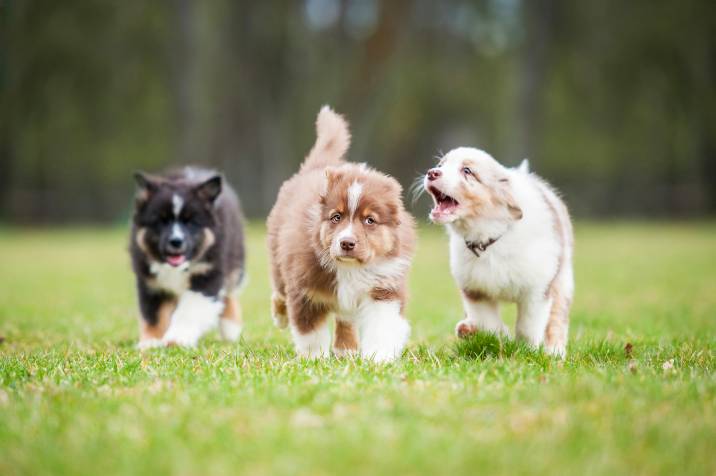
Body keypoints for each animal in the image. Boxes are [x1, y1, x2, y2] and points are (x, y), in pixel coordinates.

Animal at [131, 167, 246, 350]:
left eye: (191, 222)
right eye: (161, 221)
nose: (176, 241)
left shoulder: (208, 273)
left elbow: (189, 310)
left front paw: (177, 339)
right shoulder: (150, 283)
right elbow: (153, 315)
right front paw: (151, 342)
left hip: (235, 262)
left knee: (228, 293)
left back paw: (230, 328)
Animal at [268, 107, 414, 360]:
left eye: (369, 220)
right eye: (336, 217)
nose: (347, 243)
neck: (350, 269)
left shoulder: (384, 288)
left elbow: (382, 326)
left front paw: (378, 359)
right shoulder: (305, 291)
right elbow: (310, 332)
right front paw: (314, 359)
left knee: (345, 318)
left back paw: (346, 349)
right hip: (278, 253)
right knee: (278, 290)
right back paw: (280, 316)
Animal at [422, 147, 572, 356]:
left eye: (467, 171)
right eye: (440, 165)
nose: (432, 173)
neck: (488, 240)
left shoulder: (537, 289)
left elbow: (528, 326)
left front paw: (528, 350)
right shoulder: (475, 290)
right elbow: (488, 322)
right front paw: (500, 336)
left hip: (562, 280)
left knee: (557, 319)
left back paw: (555, 352)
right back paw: (468, 329)